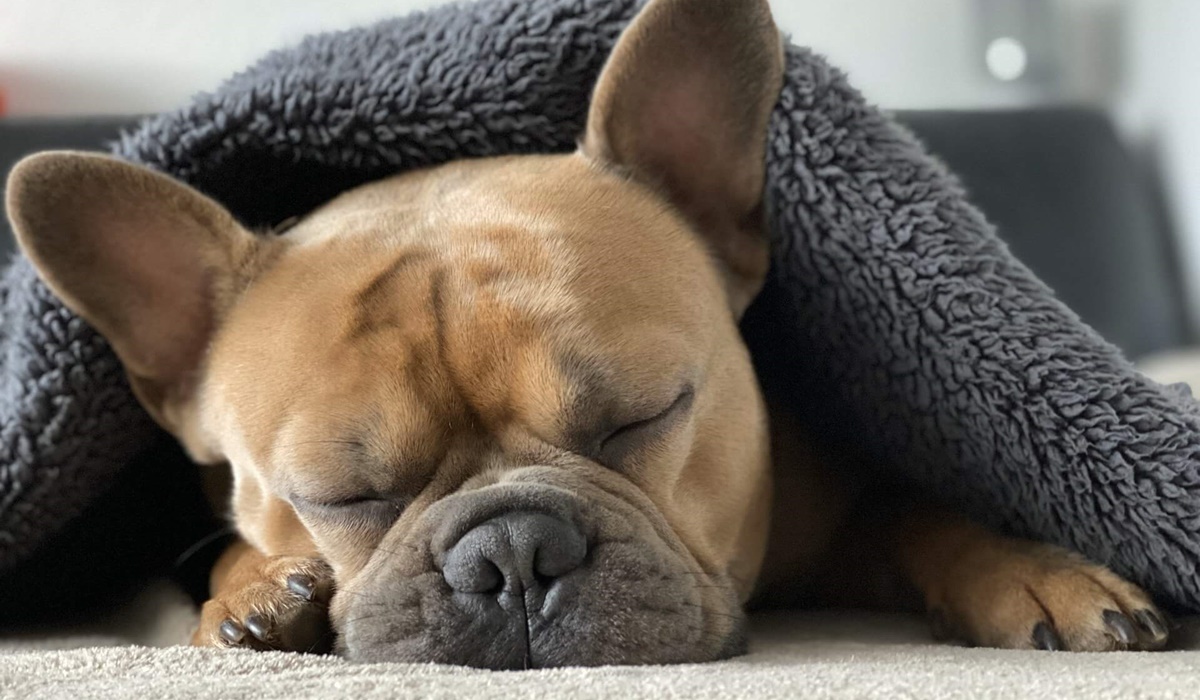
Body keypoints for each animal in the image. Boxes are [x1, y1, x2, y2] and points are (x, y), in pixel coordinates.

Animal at [4, 0, 1166, 667]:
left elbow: (917, 507)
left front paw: (1033, 568)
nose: (512, 552)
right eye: (340, 494)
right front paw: (254, 592)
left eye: (644, 417)